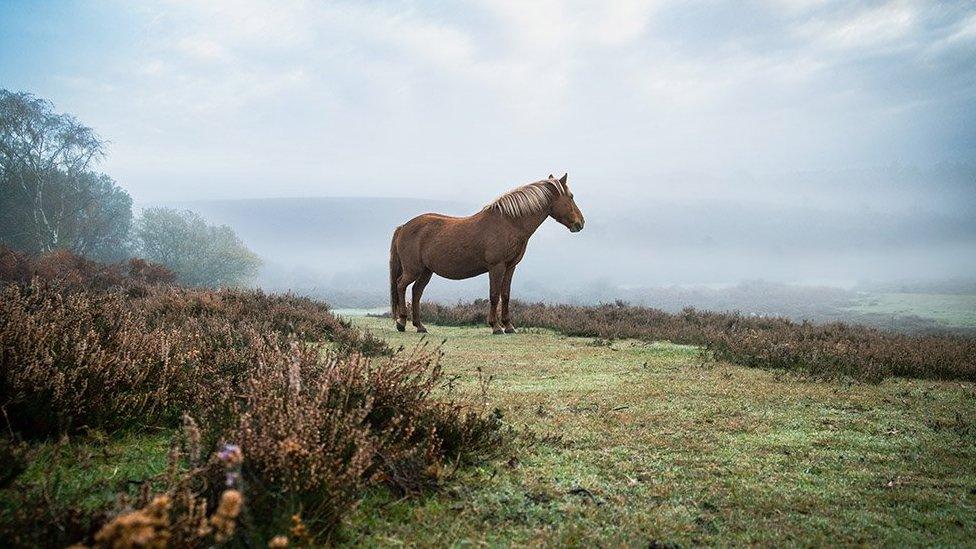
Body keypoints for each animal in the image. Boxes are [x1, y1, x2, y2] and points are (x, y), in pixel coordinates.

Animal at [388, 173, 588, 332]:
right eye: (571, 196)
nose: (580, 223)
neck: (509, 223)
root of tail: (403, 227)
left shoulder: (510, 267)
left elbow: (505, 295)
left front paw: (509, 326)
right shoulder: (496, 267)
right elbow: (494, 295)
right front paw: (496, 326)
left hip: (426, 271)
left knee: (416, 292)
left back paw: (420, 326)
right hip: (413, 270)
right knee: (401, 285)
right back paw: (402, 322)